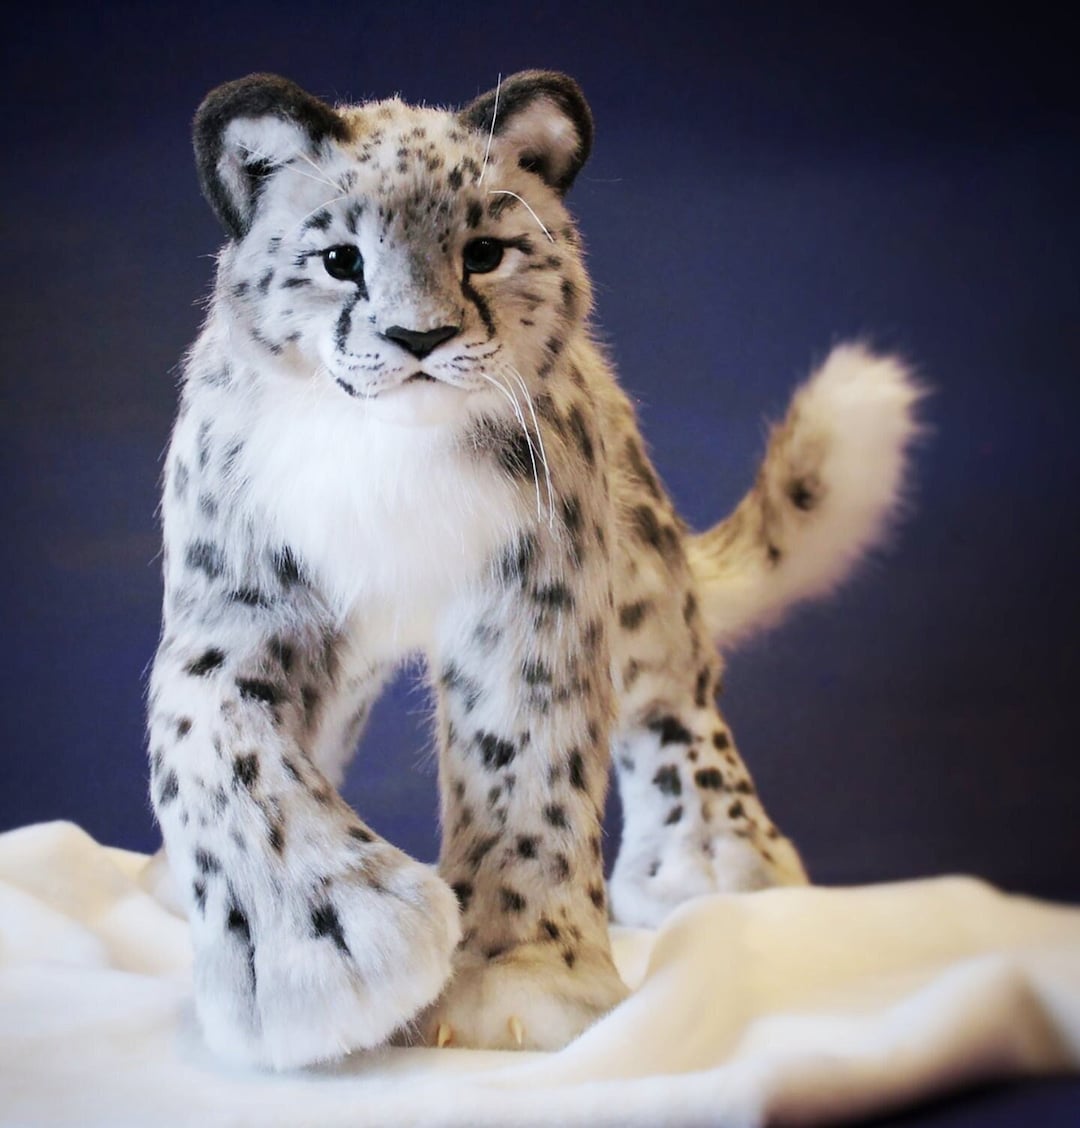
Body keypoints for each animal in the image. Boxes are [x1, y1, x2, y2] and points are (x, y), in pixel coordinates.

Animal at [146, 69, 921, 1069]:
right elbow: (212, 739)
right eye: (339, 259)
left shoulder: (534, 590)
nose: (419, 337)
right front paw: (325, 952)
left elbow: (524, 760)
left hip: (640, 572)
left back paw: (715, 858)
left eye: (484, 251)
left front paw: (518, 977)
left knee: (673, 688)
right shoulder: (238, 598)